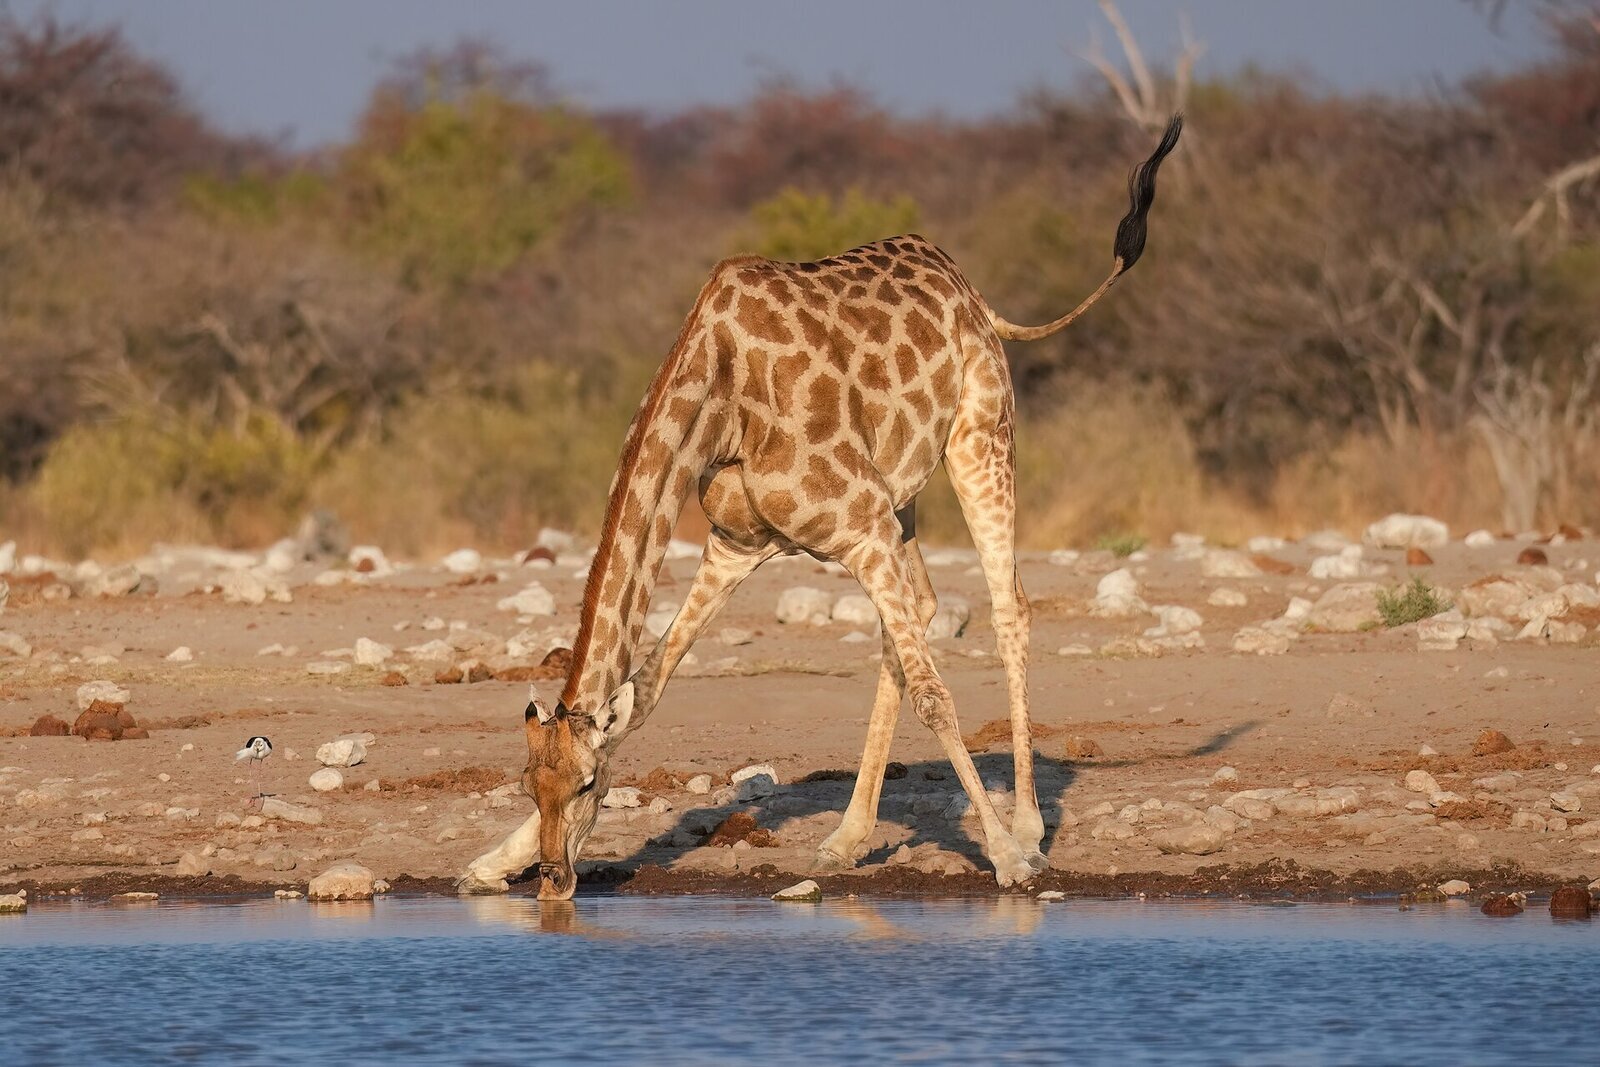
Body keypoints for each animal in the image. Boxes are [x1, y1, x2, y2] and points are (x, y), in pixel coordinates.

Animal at [460, 115, 1183, 899]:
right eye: (530, 784)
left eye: (591, 785)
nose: (555, 881)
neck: (720, 395)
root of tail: (972, 293)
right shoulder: (737, 543)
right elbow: (646, 688)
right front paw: (490, 862)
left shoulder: (858, 528)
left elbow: (935, 693)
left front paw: (1006, 858)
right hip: (899, 500)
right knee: (921, 611)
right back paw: (843, 839)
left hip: (980, 439)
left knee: (1007, 605)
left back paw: (1024, 830)